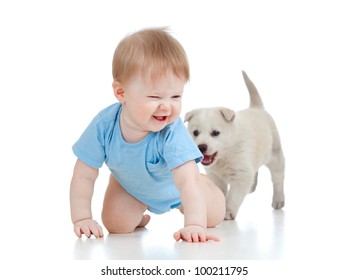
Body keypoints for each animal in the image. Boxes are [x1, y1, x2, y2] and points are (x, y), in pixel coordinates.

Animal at [185, 71, 286, 220]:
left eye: (215, 133)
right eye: (195, 132)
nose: (201, 147)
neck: (225, 155)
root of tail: (256, 108)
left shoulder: (241, 175)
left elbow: (233, 196)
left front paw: (227, 212)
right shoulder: (215, 176)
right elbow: (220, 192)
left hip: (276, 155)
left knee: (278, 180)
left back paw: (278, 200)